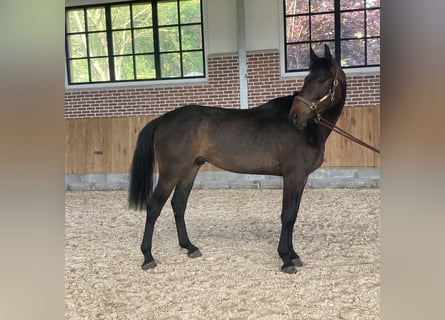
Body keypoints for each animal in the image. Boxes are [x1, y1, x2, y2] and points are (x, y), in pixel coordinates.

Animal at [128, 45, 346, 274]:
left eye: (321, 79)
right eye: (307, 79)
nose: (295, 116)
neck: (308, 130)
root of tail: (163, 118)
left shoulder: (301, 178)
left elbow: (293, 215)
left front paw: (294, 255)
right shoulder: (293, 177)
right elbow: (287, 216)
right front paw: (286, 258)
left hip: (190, 170)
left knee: (178, 204)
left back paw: (189, 247)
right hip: (171, 173)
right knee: (154, 207)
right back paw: (148, 256)